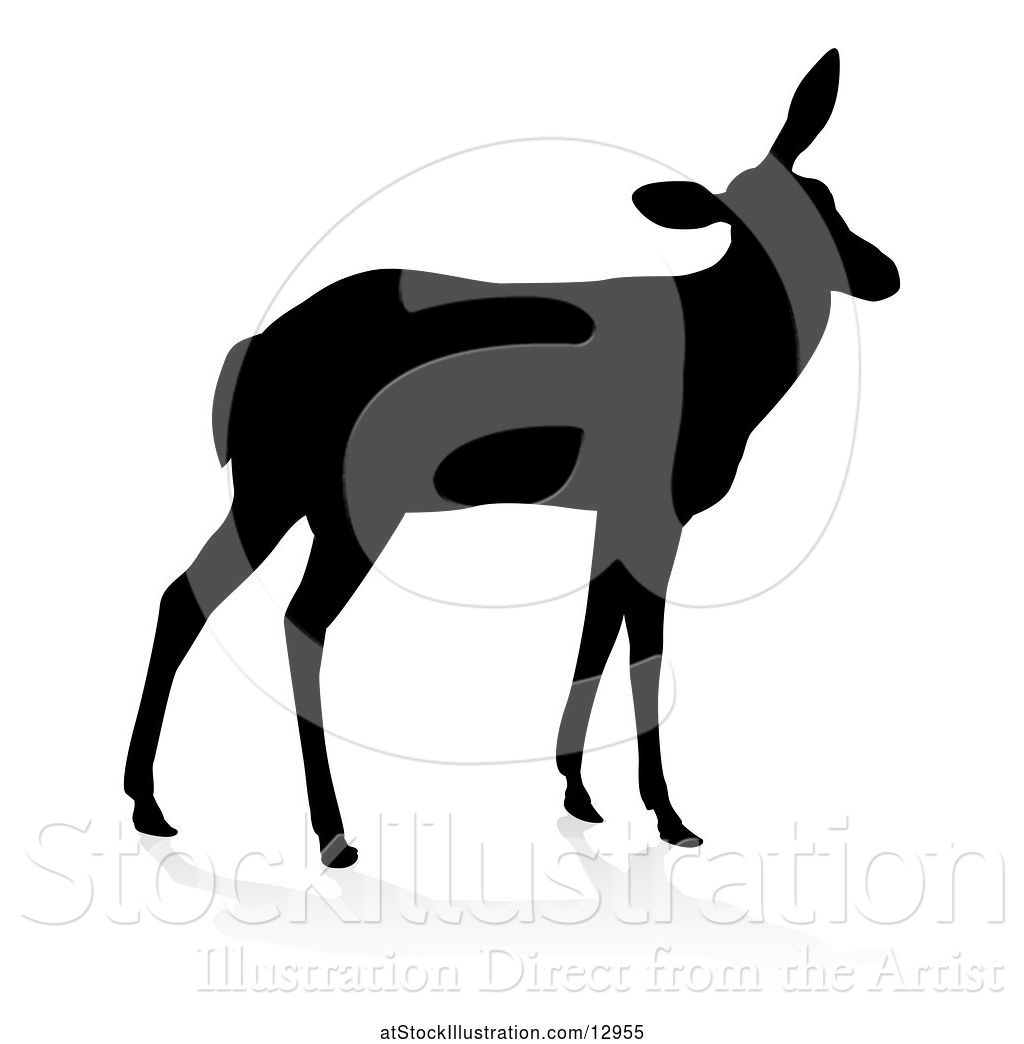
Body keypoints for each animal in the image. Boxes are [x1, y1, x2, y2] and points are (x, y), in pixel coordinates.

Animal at [125, 49, 899, 868]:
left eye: (825, 196)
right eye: (764, 218)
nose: (883, 271)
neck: (726, 355)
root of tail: (248, 358)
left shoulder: (614, 511)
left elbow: (596, 632)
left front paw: (579, 791)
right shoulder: (659, 509)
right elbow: (645, 648)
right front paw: (669, 814)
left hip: (271, 496)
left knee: (184, 594)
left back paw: (149, 803)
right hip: (347, 508)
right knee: (300, 621)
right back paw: (333, 833)